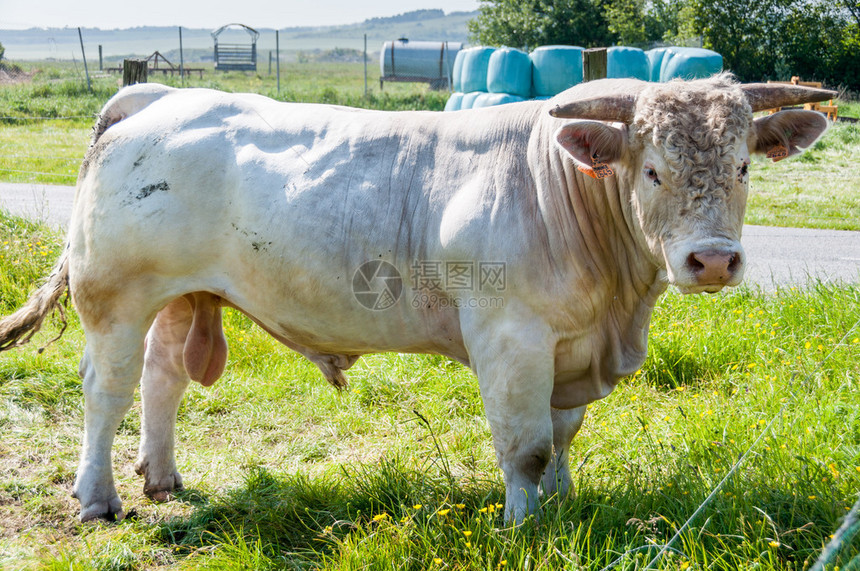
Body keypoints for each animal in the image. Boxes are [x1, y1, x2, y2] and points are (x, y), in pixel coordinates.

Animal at [0, 72, 832, 524]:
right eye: (653, 168)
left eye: (743, 166)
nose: (712, 259)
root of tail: (160, 95)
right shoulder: (511, 337)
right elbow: (526, 445)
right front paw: (525, 524)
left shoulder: (571, 347)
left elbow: (563, 436)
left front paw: (563, 504)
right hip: (114, 294)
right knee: (105, 390)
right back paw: (98, 496)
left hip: (183, 293)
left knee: (162, 378)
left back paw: (163, 475)